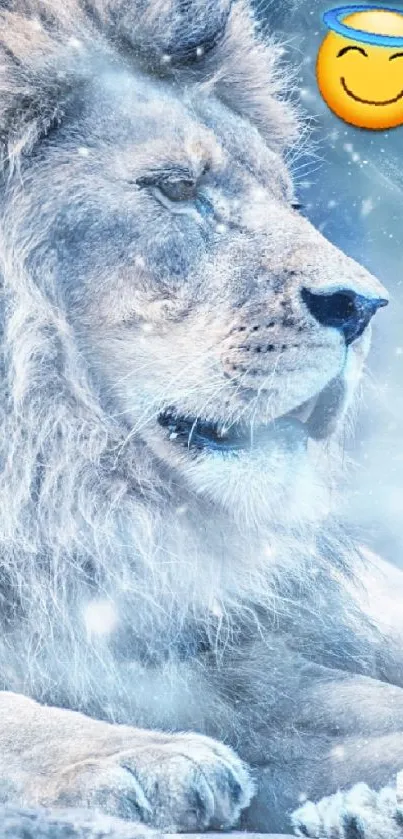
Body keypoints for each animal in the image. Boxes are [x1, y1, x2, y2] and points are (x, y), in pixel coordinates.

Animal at [0, 0, 403, 836]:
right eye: (178, 190)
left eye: (292, 205)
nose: (363, 306)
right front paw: (134, 756)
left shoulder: (208, 665)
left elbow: (354, 707)